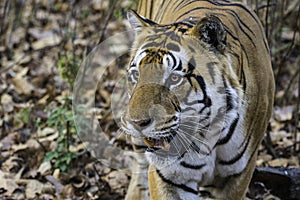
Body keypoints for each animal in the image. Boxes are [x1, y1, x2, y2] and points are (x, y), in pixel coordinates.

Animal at [119, 0, 274, 199]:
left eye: (174, 78)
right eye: (136, 75)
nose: (137, 123)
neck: (210, 134)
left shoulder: (238, 176)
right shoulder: (170, 176)